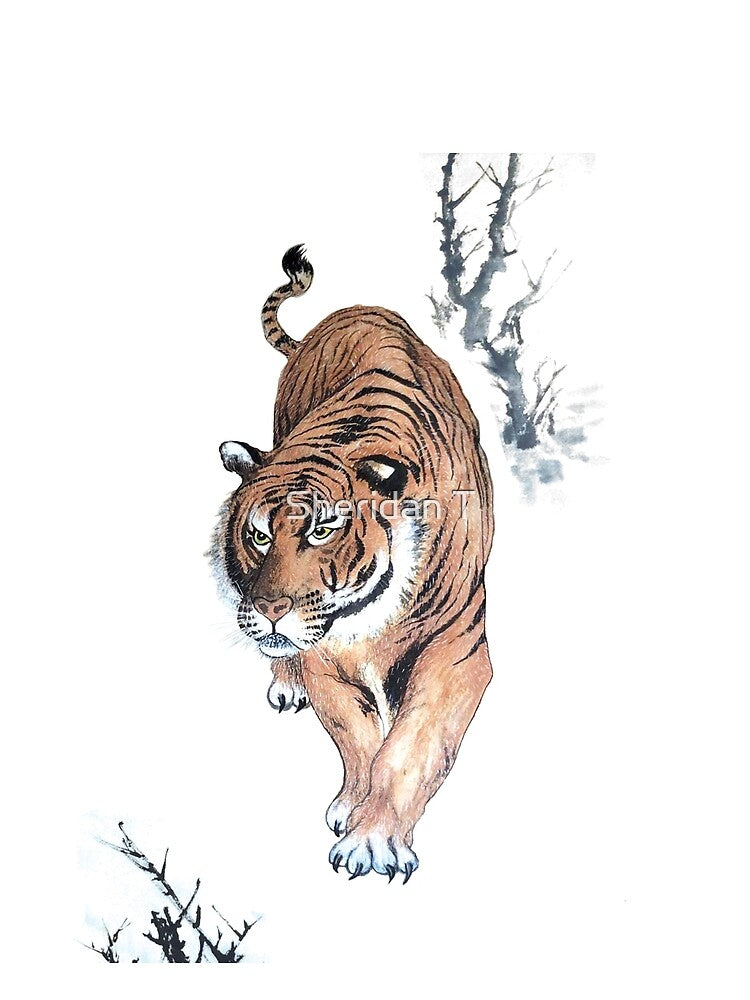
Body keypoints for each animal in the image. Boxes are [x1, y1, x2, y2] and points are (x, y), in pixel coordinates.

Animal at [209, 245, 494, 882]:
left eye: (321, 529)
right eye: (257, 535)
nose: (270, 611)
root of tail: (347, 310)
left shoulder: (458, 648)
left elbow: (411, 748)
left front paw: (373, 840)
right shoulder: (323, 653)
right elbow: (359, 736)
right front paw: (351, 811)